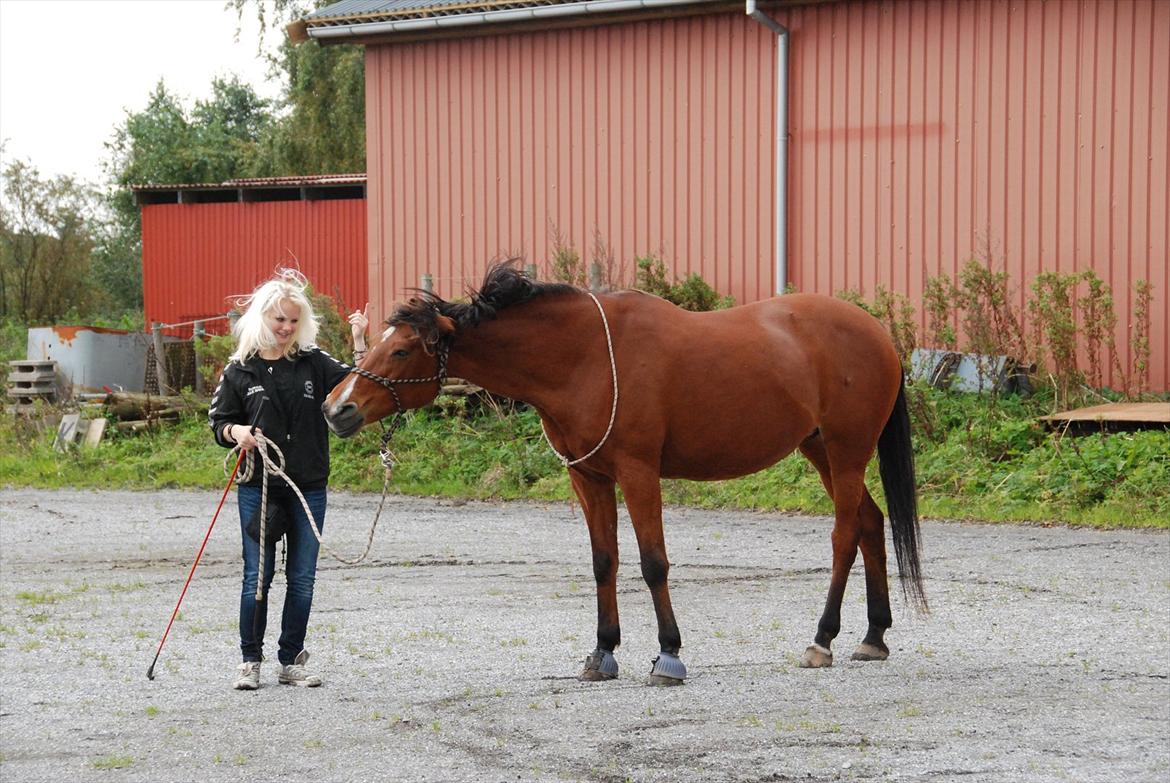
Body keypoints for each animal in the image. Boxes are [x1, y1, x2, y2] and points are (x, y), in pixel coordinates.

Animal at [320, 262, 921, 683]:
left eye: (401, 351)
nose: (336, 409)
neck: (582, 357)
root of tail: (878, 333)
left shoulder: (638, 472)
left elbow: (653, 563)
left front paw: (669, 655)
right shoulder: (589, 478)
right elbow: (603, 562)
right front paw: (602, 651)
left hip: (846, 451)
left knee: (845, 534)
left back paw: (823, 639)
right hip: (820, 450)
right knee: (871, 524)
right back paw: (874, 635)